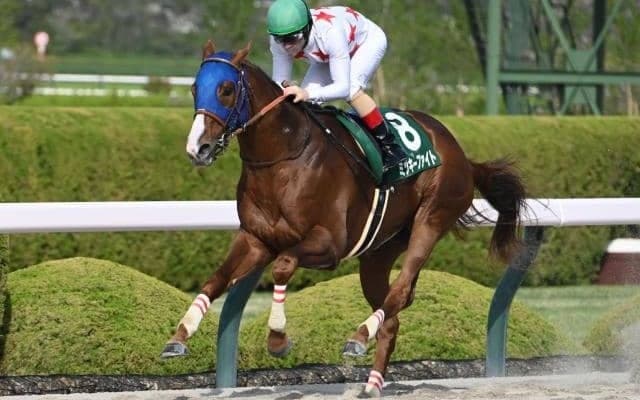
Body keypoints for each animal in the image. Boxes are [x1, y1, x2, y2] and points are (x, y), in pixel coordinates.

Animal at [162, 40, 526, 398]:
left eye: (225, 89)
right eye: (194, 87)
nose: (198, 148)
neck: (284, 157)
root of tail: (463, 156)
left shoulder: (329, 244)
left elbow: (283, 265)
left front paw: (278, 338)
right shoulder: (256, 239)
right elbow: (216, 279)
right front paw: (179, 335)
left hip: (432, 218)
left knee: (400, 290)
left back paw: (360, 336)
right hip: (380, 250)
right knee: (393, 314)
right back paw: (373, 383)